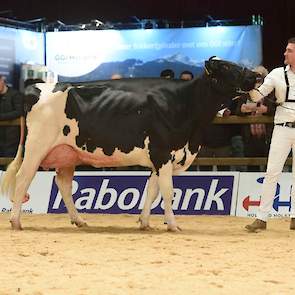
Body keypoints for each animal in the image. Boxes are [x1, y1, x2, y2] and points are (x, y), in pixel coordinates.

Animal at [0, 57, 260, 231]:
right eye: (225, 67)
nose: (256, 76)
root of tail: (35, 87)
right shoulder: (162, 152)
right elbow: (168, 191)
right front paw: (173, 224)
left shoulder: (159, 158)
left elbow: (152, 191)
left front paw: (144, 222)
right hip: (36, 147)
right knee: (23, 178)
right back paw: (15, 221)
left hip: (68, 153)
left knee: (63, 184)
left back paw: (79, 220)